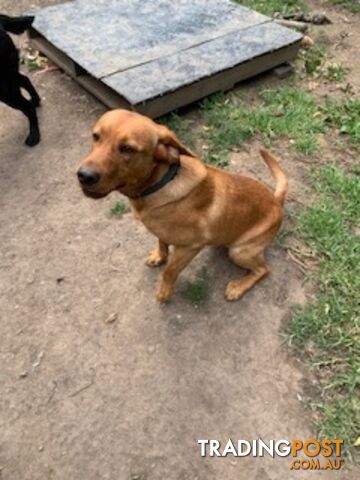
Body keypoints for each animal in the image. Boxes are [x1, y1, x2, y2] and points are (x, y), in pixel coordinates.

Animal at [77, 110, 288, 302]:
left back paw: (238, 287)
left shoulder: (189, 248)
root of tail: (276, 200)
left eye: (127, 148)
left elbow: (169, 271)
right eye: (96, 136)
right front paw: (159, 256)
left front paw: (165, 293)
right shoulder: (163, 233)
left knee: (263, 270)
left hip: (240, 252)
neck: (160, 183)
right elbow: (162, 244)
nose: (84, 175)